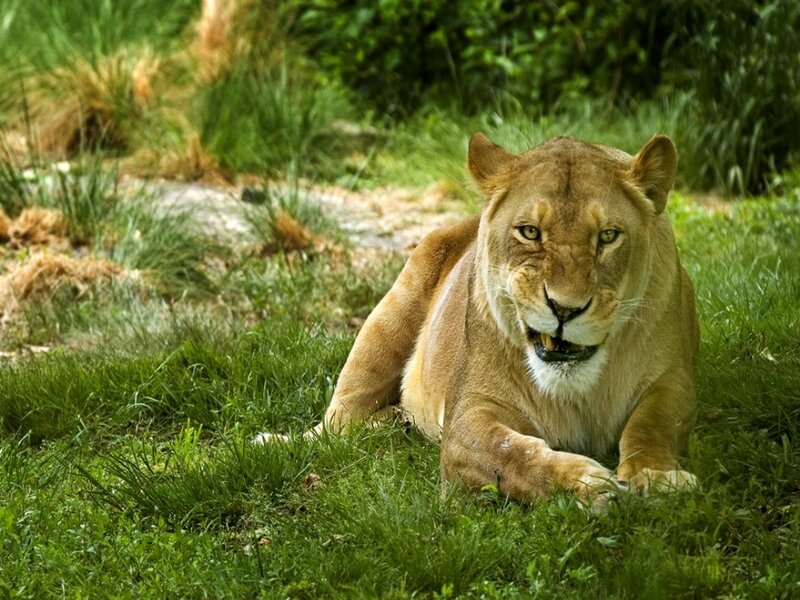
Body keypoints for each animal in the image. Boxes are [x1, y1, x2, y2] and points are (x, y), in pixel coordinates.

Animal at [256, 133, 699, 505]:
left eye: (608, 236)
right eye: (530, 232)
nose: (565, 309)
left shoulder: (674, 377)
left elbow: (651, 425)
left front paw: (657, 476)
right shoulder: (467, 414)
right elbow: (511, 453)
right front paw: (584, 484)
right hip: (384, 323)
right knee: (334, 427)